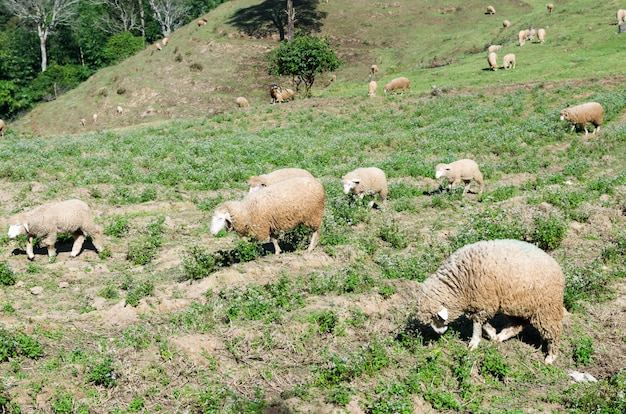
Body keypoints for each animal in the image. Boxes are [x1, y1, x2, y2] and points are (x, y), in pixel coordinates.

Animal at [412, 238, 564, 364]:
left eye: (436, 317)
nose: (439, 333)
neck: (460, 282)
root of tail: (558, 269)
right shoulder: (479, 303)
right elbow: (481, 321)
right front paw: (491, 333)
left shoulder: (485, 301)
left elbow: (477, 323)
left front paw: (474, 343)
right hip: (518, 304)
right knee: (519, 324)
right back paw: (500, 337)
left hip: (546, 308)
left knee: (554, 331)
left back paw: (551, 357)